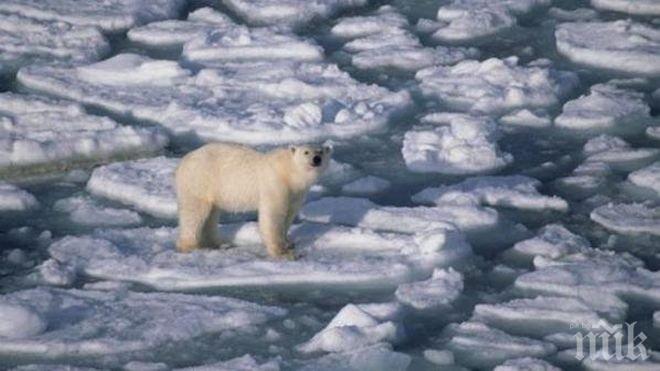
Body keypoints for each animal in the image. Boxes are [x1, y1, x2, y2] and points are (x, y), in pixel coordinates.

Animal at [175, 144, 332, 260]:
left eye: (321, 151)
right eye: (306, 152)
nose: (316, 159)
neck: (288, 172)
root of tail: (183, 161)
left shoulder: (296, 193)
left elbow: (289, 215)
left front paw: (289, 243)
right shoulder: (275, 185)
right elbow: (273, 216)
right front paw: (283, 252)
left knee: (211, 214)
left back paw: (218, 244)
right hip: (199, 181)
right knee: (194, 213)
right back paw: (189, 246)